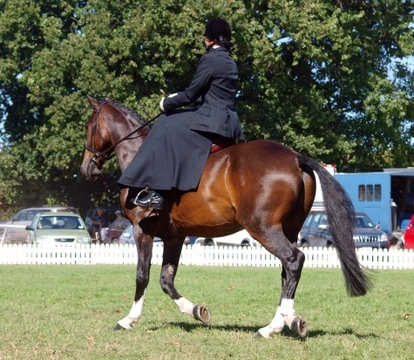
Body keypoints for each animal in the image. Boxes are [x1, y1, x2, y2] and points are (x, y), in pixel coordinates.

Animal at [79, 95, 370, 338]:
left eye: (89, 126)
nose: (86, 169)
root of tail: (296, 157)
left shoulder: (143, 231)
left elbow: (143, 276)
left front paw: (128, 320)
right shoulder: (175, 236)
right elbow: (166, 279)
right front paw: (196, 310)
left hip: (262, 228)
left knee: (293, 260)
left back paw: (280, 323)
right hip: (289, 228)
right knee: (287, 271)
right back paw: (281, 322)